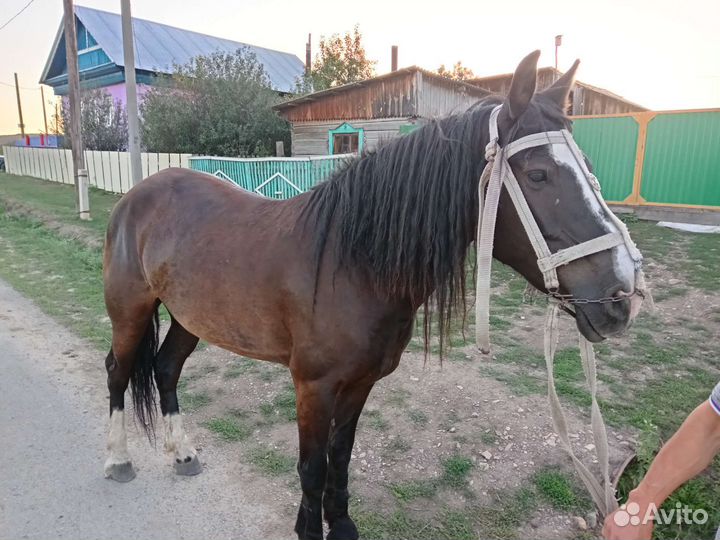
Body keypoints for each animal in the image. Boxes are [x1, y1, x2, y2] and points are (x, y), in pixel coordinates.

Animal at [102, 51, 642, 540]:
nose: (621, 296)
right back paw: (118, 460)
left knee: (166, 369)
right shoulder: (313, 387)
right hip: (131, 312)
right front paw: (310, 530)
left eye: (587, 166)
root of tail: (139, 193)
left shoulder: (361, 384)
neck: (354, 263)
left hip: (188, 317)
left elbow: (340, 458)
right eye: (538, 175)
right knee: (118, 372)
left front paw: (341, 525)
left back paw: (183, 453)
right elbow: (312, 467)